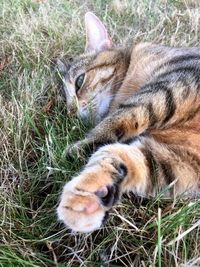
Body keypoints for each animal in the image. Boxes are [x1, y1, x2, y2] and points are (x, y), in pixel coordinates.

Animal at [55, 12, 200, 233]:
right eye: (65, 102)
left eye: (79, 82)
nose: (71, 112)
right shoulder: (182, 163)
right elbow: (120, 157)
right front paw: (87, 196)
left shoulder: (172, 83)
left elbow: (119, 118)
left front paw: (76, 149)